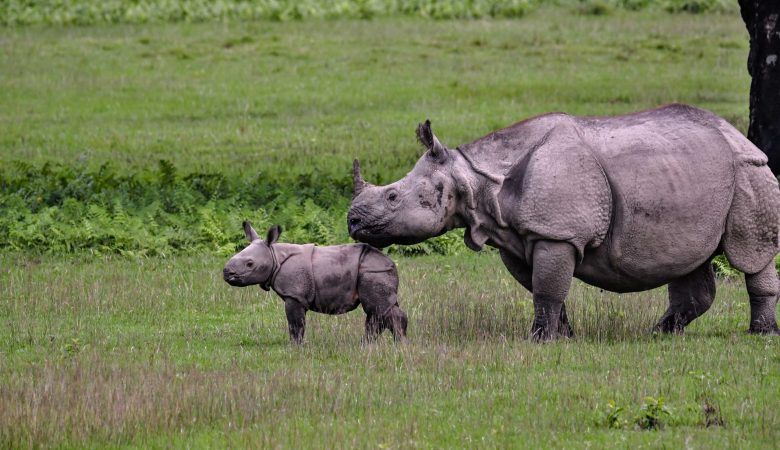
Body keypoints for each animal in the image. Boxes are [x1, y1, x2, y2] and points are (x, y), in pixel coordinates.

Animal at [223, 221, 407, 343]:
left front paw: (295, 346)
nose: (226, 273)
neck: (274, 255)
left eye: (250, 264)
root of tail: (390, 263)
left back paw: (387, 344)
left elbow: (295, 324)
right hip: (377, 272)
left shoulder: (295, 295)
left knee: (376, 308)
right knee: (381, 308)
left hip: (373, 272)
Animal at [348, 104, 780, 341]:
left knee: (749, 253)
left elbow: (547, 289)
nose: (352, 221)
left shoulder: (556, 233)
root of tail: (739, 135)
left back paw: (760, 333)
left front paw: (539, 341)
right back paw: (661, 334)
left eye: (392, 197)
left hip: (750, 171)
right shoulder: (520, 237)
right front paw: (564, 336)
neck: (475, 180)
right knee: (691, 259)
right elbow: (545, 289)